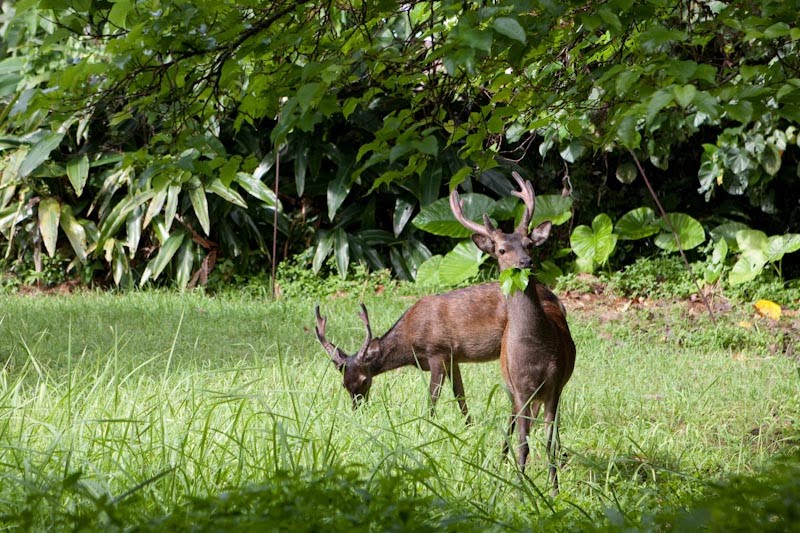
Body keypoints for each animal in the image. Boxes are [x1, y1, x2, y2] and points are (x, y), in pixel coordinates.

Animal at [314, 284, 565, 421]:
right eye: (344, 384)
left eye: (365, 381)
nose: (357, 409)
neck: (410, 344)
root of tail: (556, 298)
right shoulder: (453, 358)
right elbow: (460, 394)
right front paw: (469, 425)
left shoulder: (438, 351)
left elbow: (433, 396)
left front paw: (428, 424)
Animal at [450, 172, 576, 495]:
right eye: (502, 250)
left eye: (529, 244)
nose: (525, 263)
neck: (533, 351)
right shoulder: (519, 388)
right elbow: (523, 442)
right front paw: (520, 487)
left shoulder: (554, 384)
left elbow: (548, 441)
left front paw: (553, 490)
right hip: (509, 385)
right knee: (511, 423)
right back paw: (501, 461)